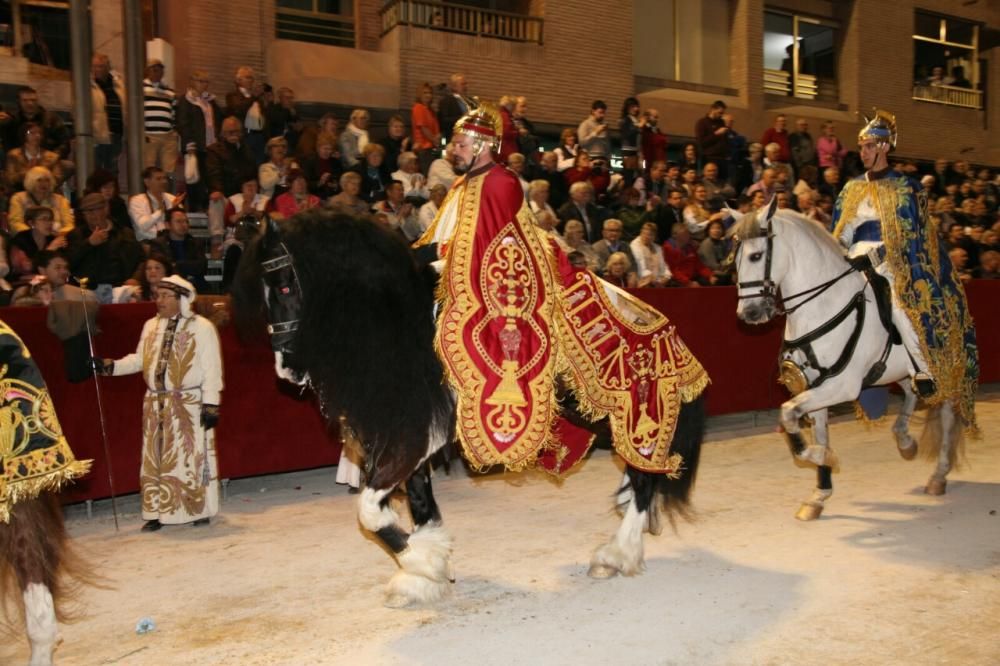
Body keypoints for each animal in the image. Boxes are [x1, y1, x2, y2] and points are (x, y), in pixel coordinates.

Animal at [233, 210, 704, 604]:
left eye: (285, 285)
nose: (286, 371)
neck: (402, 319)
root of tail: (658, 324)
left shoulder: (413, 437)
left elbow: (369, 510)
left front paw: (423, 563)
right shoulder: (417, 437)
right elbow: (417, 505)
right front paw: (423, 573)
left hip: (633, 417)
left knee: (644, 475)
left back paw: (616, 555)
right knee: (640, 476)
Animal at [732, 202, 964, 520]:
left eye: (755, 256)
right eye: (735, 261)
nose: (749, 313)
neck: (821, 307)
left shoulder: (841, 386)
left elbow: (788, 413)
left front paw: (825, 459)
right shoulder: (814, 385)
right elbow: (815, 431)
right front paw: (819, 493)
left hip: (946, 369)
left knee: (948, 413)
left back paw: (939, 475)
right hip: (899, 372)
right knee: (910, 393)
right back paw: (905, 442)